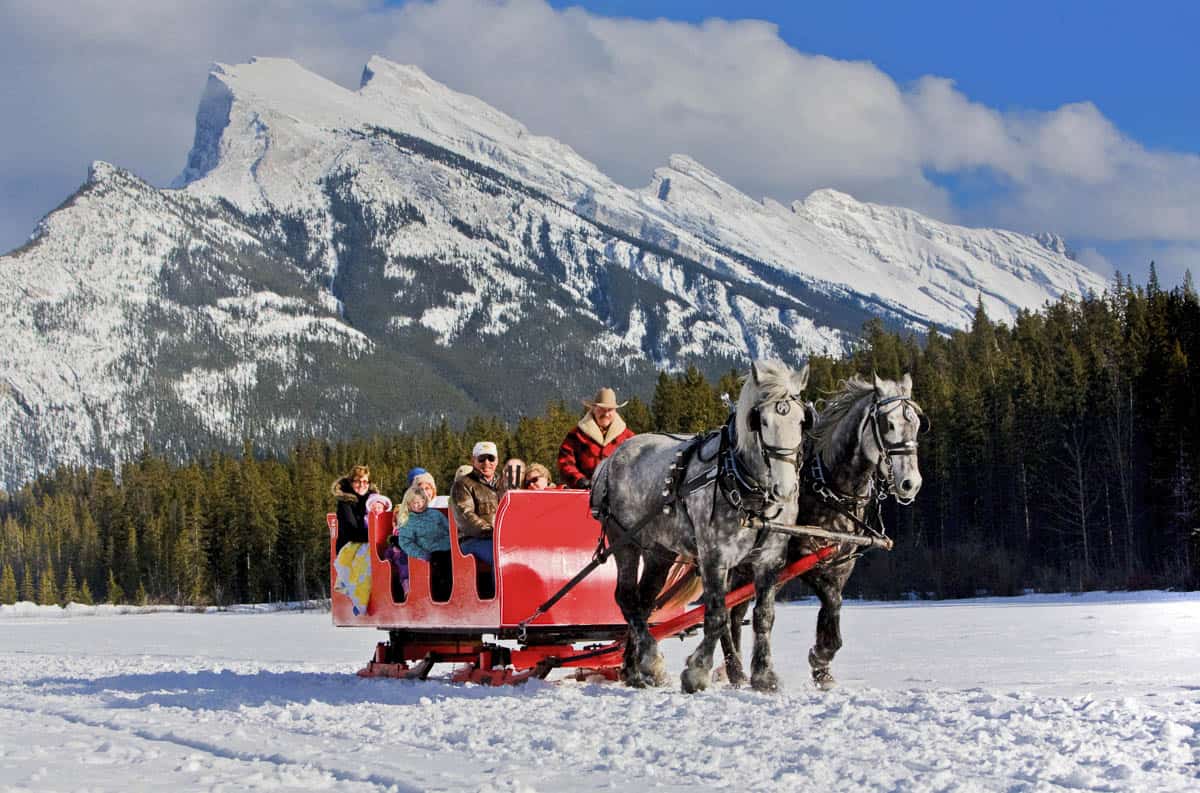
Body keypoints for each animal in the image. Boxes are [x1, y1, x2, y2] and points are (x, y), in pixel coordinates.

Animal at [590, 362, 816, 691]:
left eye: (802, 421)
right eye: (761, 421)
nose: (784, 490)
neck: (742, 485)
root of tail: (610, 460)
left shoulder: (769, 559)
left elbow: (764, 616)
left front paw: (764, 675)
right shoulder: (714, 556)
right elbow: (717, 615)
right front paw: (696, 672)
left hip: (660, 552)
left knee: (644, 602)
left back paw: (635, 669)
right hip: (625, 541)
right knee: (627, 598)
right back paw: (652, 661)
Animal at [720, 371, 926, 686]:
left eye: (916, 423)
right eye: (888, 424)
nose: (910, 484)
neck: (830, 486)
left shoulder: (841, 564)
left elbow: (832, 608)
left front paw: (823, 667)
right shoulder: (805, 559)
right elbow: (832, 600)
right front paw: (819, 656)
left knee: (735, 614)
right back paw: (732, 668)